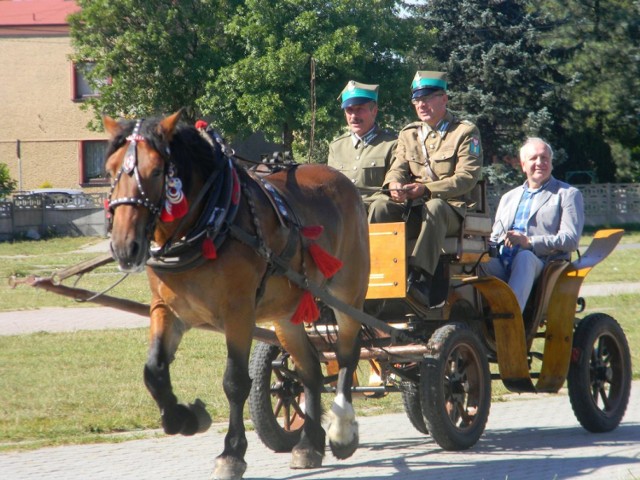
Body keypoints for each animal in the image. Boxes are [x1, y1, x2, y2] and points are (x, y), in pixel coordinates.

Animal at [104, 110, 370, 480]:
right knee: (310, 370)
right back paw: (309, 444)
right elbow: (154, 371)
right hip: (286, 313)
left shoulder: (238, 312)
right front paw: (187, 418)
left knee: (346, 355)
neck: (209, 223)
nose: (124, 246)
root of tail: (343, 181)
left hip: (346, 293)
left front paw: (231, 453)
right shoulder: (168, 310)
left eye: (157, 171)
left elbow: (235, 382)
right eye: (110, 170)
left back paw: (342, 430)